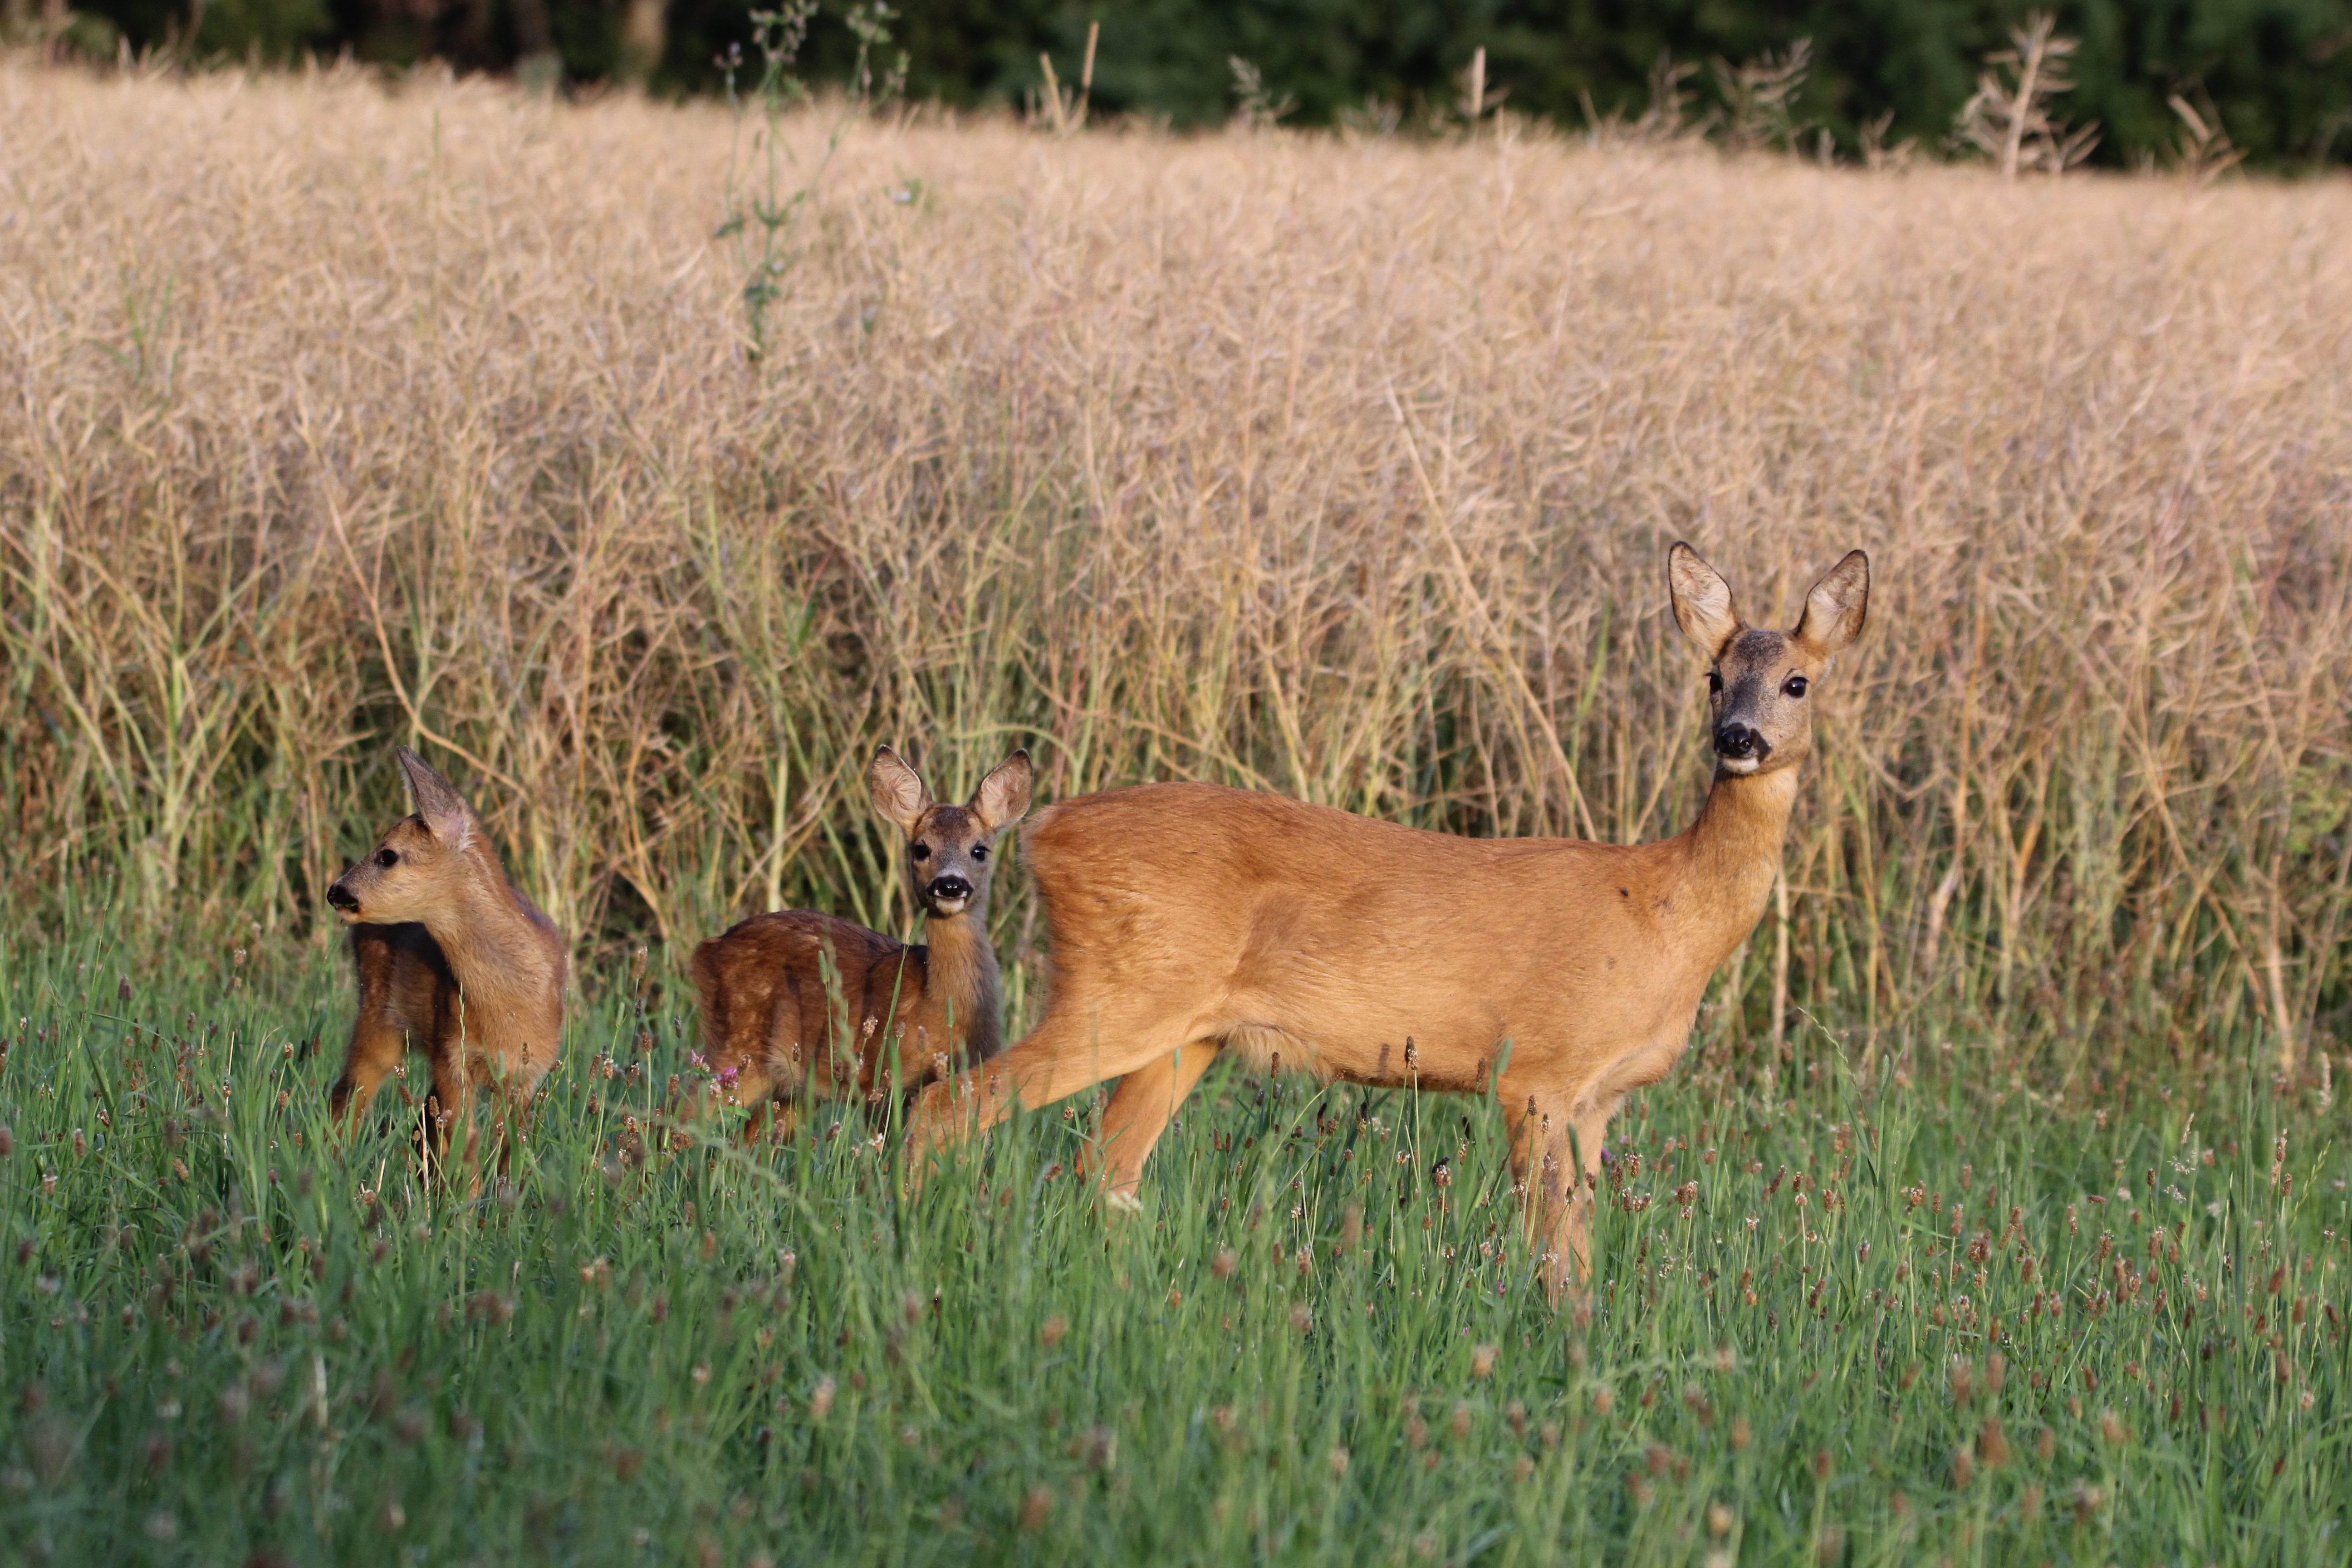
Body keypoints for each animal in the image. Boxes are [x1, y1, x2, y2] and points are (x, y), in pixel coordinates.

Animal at [324, 743, 567, 1171]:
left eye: (388, 855)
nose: (336, 891)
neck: (512, 1004)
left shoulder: (528, 1073)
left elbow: (509, 1159)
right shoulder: (453, 1055)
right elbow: (463, 1153)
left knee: (415, 1122)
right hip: (379, 1020)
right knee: (349, 1097)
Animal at [686, 752, 1039, 1142]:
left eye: (980, 850)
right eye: (921, 848)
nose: (950, 884)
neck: (938, 1005)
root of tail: (708, 947)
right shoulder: (882, 1079)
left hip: (790, 1088)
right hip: (737, 1046)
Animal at [908, 545, 1862, 1307]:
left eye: (1797, 682)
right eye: (1711, 678)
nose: (1737, 738)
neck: (1664, 912)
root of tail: (1044, 829)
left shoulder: (1598, 1102)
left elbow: (1581, 1247)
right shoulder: (1535, 1073)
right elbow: (1549, 1248)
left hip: (1185, 1034)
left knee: (1103, 1168)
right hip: (1117, 993)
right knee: (950, 1105)